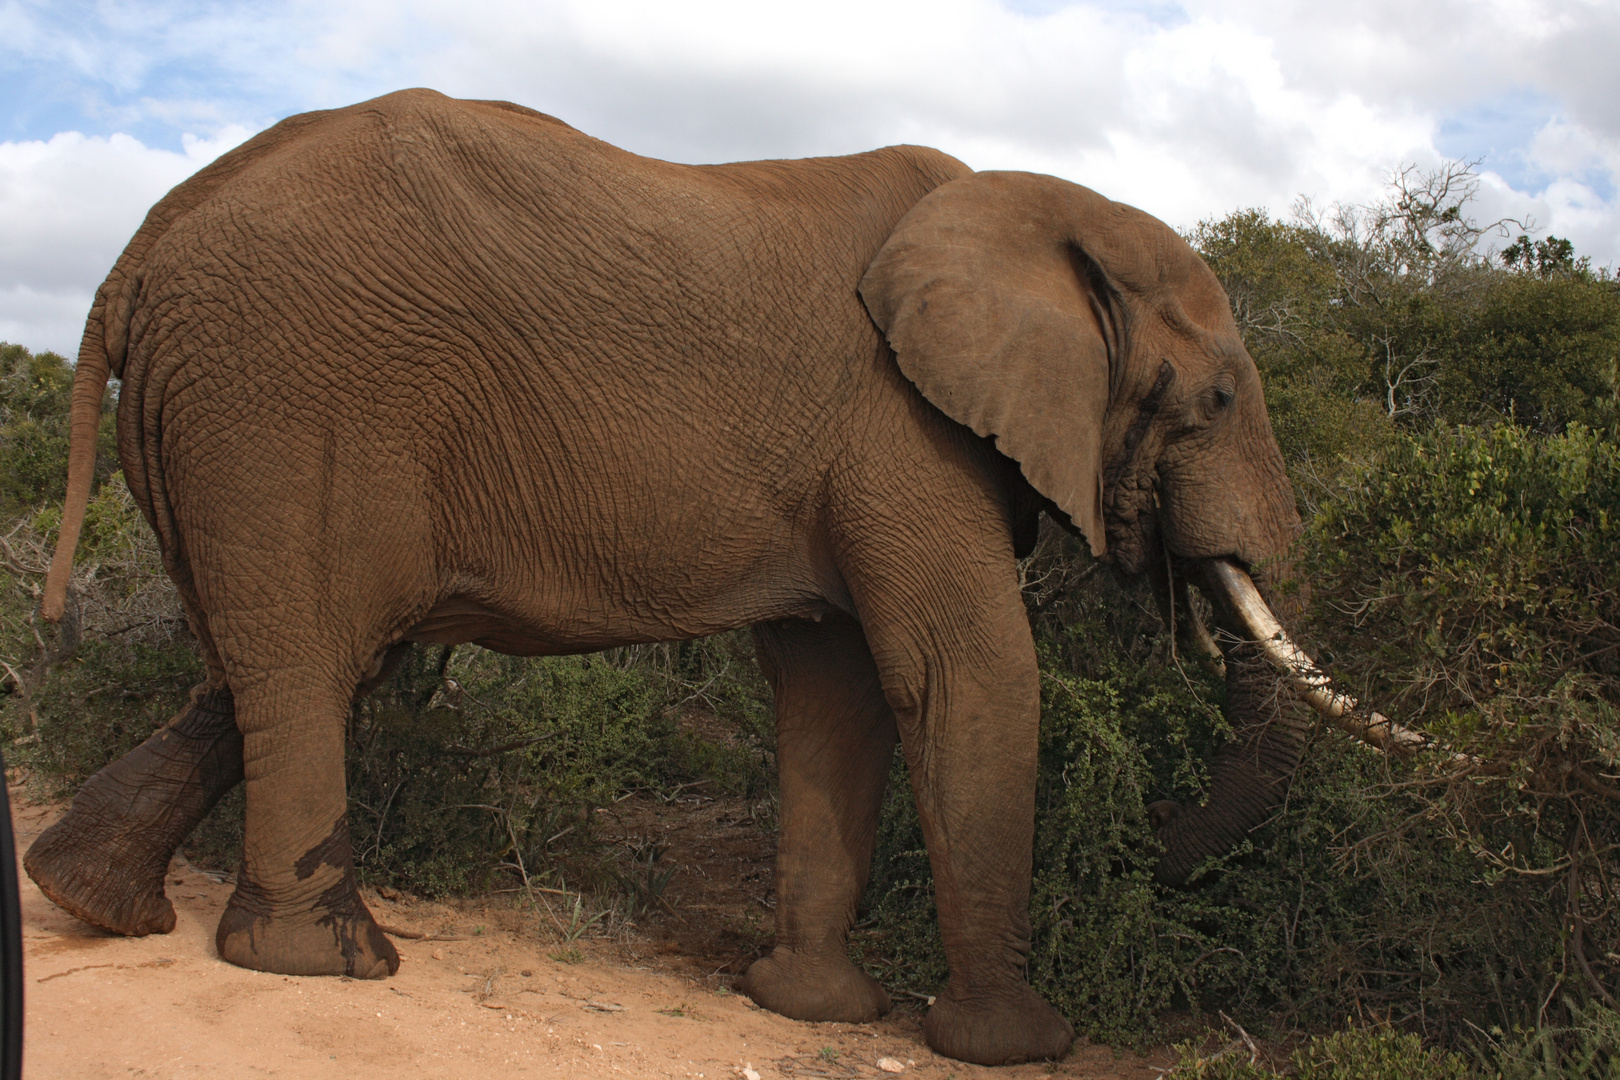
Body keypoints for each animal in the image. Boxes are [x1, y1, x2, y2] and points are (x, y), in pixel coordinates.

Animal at [22, 88, 1354, 1068]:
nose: (1158, 837)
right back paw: (330, 965)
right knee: (310, 665)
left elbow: (840, 693)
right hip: (288, 401)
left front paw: (807, 1010)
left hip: (229, 416)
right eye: (1216, 399)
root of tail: (136, 251)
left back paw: (91, 902)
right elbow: (964, 671)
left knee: (273, 664)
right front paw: (1017, 1048)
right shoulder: (901, 431)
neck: (1031, 204)